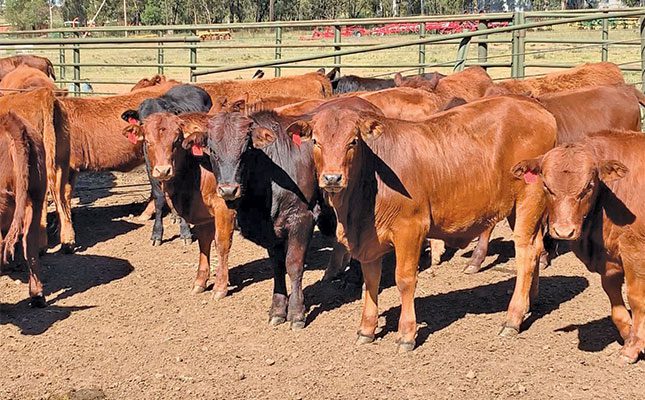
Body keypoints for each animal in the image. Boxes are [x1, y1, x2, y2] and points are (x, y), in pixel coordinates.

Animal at [121, 85, 213, 246]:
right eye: (142, 124)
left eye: (176, 139)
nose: (164, 170)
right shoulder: (152, 170)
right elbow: (159, 198)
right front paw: (156, 234)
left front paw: (185, 232)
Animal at [122, 112, 236, 299]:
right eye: (147, 141)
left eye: (176, 141)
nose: (163, 171)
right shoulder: (203, 214)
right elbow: (204, 242)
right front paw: (200, 282)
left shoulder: (223, 206)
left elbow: (222, 243)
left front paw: (220, 286)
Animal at [181, 108, 337, 329]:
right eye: (212, 150)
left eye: (246, 149)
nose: (228, 190)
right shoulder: (271, 232)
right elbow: (278, 267)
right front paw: (278, 311)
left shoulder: (302, 218)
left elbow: (293, 265)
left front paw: (297, 313)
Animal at [285, 95, 557, 350]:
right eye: (315, 141)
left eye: (353, 141)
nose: (332, 178)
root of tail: (536, 107)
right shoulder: (368, 239)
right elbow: (371, 280)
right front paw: (366, 329)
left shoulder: (410, 228)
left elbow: (404, 280)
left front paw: (406, 334)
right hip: (516, 208)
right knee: (536, 248)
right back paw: (530, 302)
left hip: (529, 199)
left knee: (526, 254)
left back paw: (513, 318)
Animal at [513, 130, 645, 363]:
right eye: (546, 186)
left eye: (588, 186)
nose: (564, 231)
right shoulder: (609, 261)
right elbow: (615, 302)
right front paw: (628, 335)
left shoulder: (635, 251)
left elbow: (637, 300)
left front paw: (632, 347)